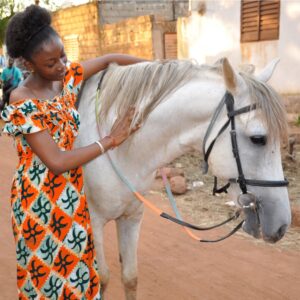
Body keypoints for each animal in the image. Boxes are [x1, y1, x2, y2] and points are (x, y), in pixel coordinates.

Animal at [75, 58, 290, 300]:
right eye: (258, 139)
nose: (282, 225)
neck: (123, 149)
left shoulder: (132, 217)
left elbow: (130, 277)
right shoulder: (93, 222)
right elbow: (101, 279)